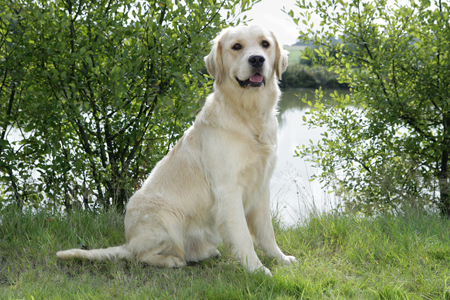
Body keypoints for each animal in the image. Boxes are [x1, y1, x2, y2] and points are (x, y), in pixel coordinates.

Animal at [56, 25, 296, 276]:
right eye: (236, 46)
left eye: (265, 44)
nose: (257, 59)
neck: (248, 117)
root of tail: (127, 241)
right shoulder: (229, 189)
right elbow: (243, 236)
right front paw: (256, 269)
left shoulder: (261, 186)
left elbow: (267, 232)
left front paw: (280, 258)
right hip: (165, 217)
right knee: (139, 256)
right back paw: (171, 260)